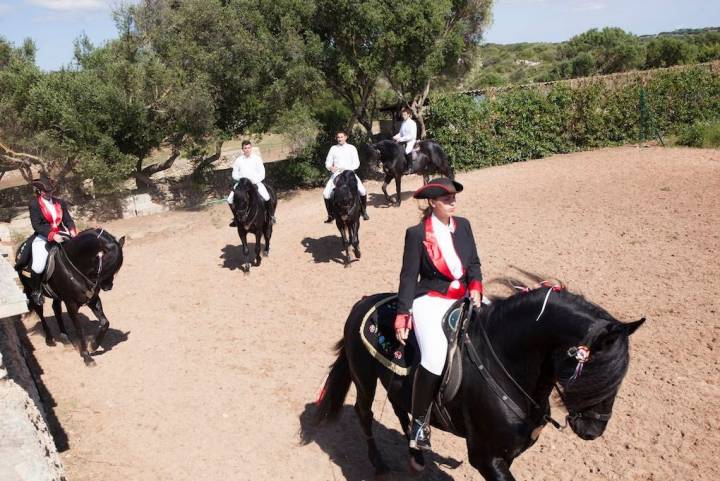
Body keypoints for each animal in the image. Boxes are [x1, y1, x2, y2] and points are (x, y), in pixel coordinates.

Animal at [15, 228, 126, 364]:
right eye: (106, 264)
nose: (107, 287)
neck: (76, 265)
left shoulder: (93, 299)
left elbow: (105, 322)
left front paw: (93, 346)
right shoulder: (71, 304)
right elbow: (79, 329)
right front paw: (86, 356)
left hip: (57, 295)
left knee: (56, 309)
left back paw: (65, 338)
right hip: (31, 291)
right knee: (39, 311)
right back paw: (50, 339)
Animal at [316, 280, 648, 478]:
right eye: (595, 374)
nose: (594, 430)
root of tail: (363, 303)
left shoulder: (507, 453)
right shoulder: (486, 457)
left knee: (401, 405)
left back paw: (416, 451)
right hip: (364, 378)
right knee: (365, 412)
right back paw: (380, 463)